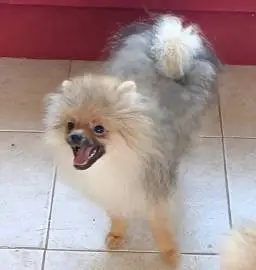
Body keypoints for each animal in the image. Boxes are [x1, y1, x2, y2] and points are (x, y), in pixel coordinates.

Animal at [44, 13, 220, 266]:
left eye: (99, 129)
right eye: (70, 124)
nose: (74, 137)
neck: (117, 162)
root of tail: (169, 48)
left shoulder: (155, 192)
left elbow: (161, 226)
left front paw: (168, 252)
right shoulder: (113, 192)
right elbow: (117, 215)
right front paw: (117, 234)